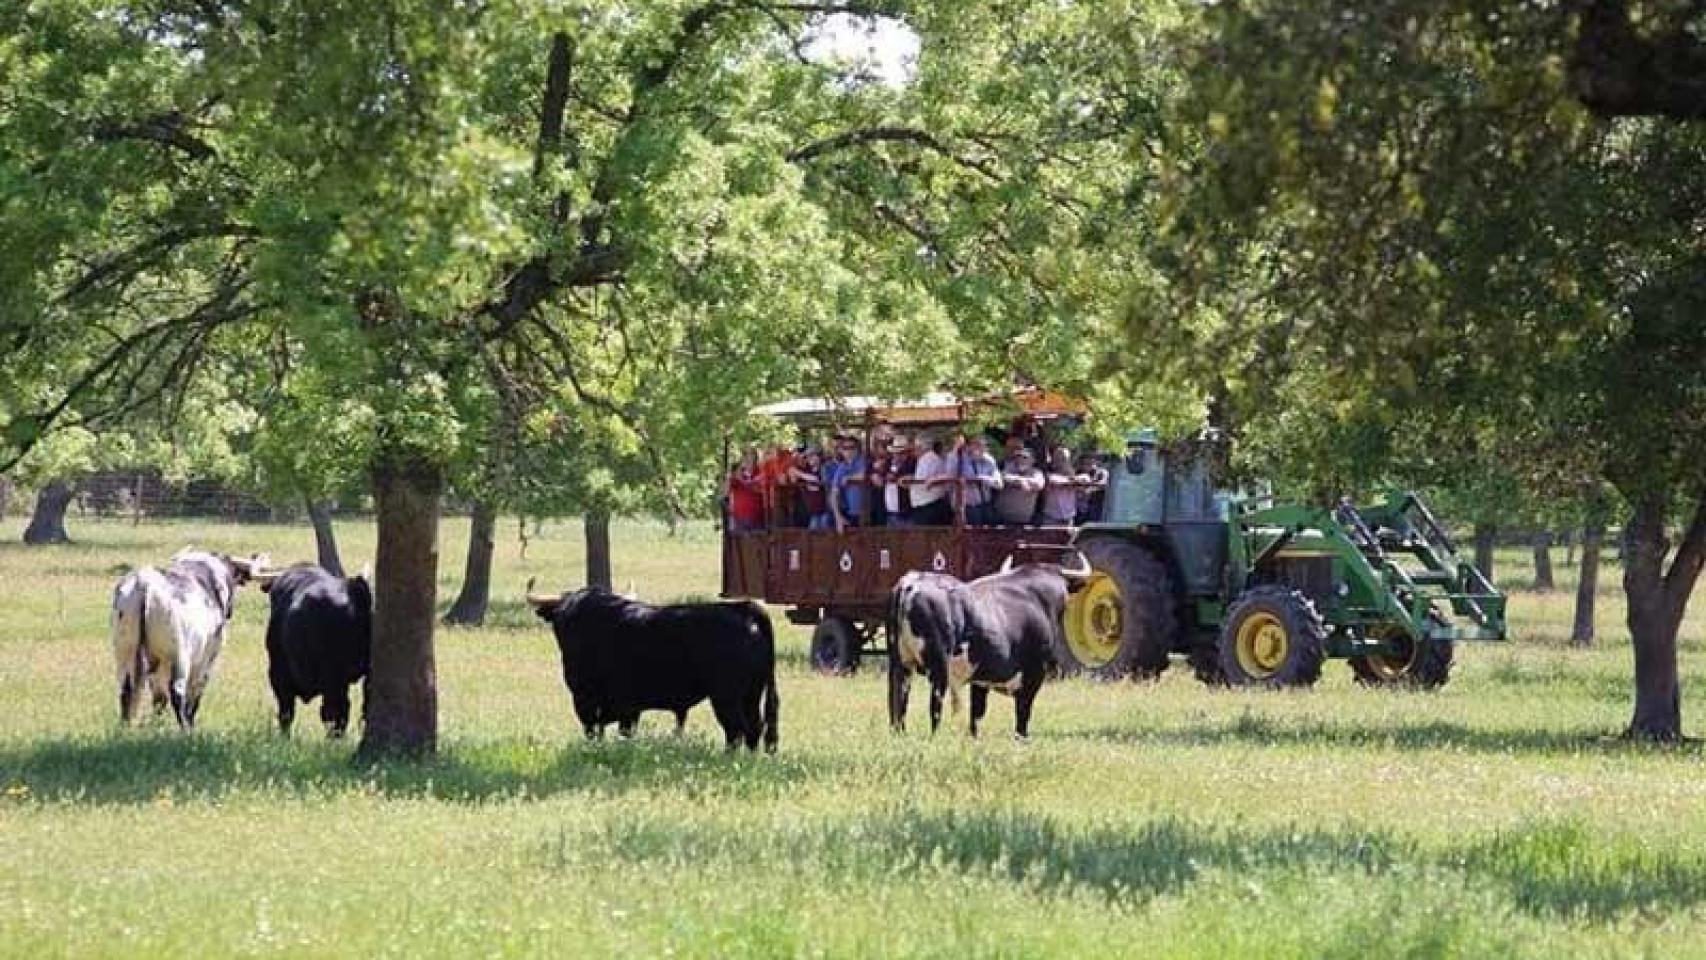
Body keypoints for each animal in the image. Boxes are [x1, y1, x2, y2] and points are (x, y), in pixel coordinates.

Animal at [110, 549, 264, 729]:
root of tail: (144, 583)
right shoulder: (206, 659)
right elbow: (195, 693)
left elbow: (158, 697)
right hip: (180, 656)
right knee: (177, 692)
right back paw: (185, 729)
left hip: (125, 650)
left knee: (127, 690)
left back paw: (125, 727)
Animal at [528, 589, 781, 753]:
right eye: (561, 616)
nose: (566, 630)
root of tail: (743, 608)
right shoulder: (626, 707)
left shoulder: (588, 700)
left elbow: (595, 731)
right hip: (751, 694)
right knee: (754, 728)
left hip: (726, 697)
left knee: (736, 730)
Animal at [887, 559, 1085, 740]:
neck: (1038, 599)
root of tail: (912, 582)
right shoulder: (1034, 673)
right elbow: (1023, 710)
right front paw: (1021, 738)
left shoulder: (980, 679)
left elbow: (977, 712)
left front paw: (975, 738)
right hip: (938, 669)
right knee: (934, 705)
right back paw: (935, 737)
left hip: (900, 666)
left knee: (898, 702)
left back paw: (900, 734)